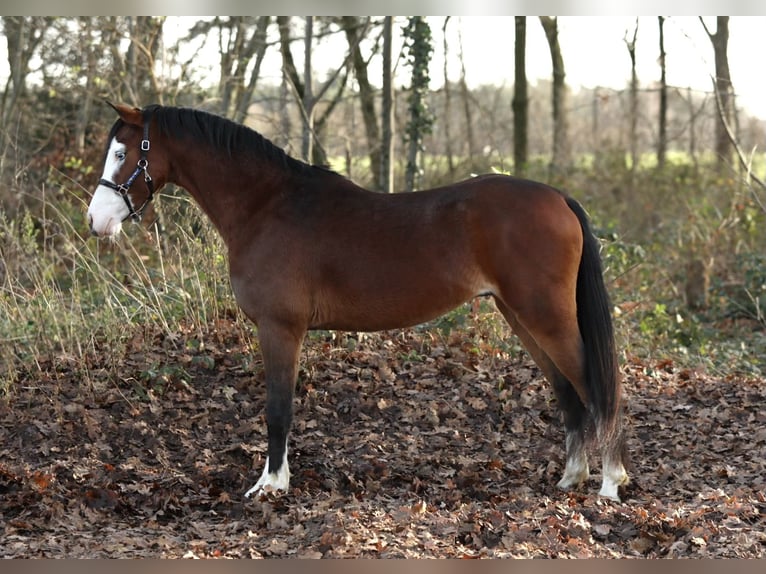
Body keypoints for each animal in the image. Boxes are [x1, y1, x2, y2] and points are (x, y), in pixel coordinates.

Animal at [87, 103, 629, 501]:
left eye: (122, 151)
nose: (96, 221)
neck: (266, 206)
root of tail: (559, 198)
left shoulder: (279, 328)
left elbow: (277, 409)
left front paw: (271, 485)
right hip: (520, 317)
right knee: (568, 392)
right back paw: (572, 477)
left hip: (546, 317)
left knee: (598, 387)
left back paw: (609, 483)